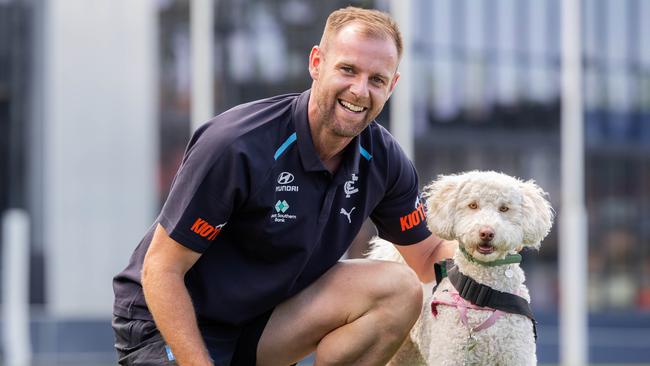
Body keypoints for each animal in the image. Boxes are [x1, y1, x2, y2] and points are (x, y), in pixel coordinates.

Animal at [370, 170, 552, 364]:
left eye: (504, 208)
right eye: (473, 205)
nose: (486, 233)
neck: (482, 293)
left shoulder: (516, 356)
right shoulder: (450, 356)